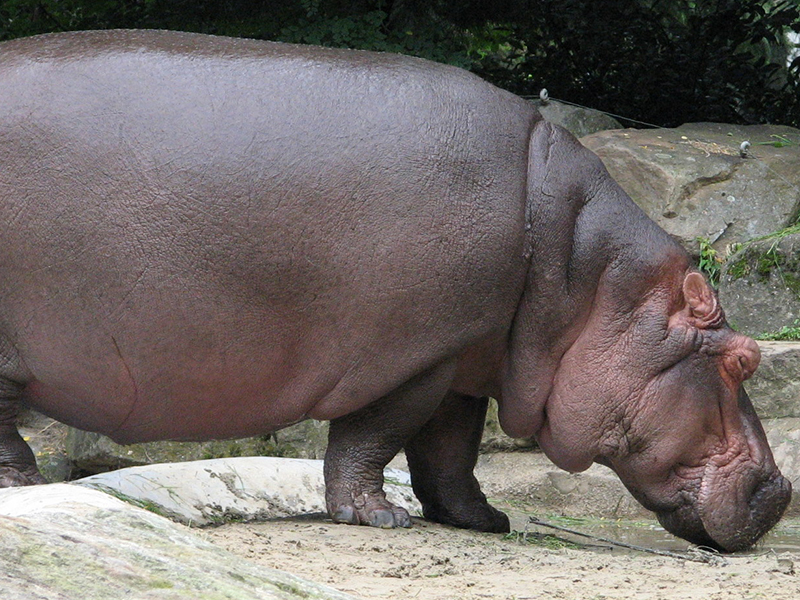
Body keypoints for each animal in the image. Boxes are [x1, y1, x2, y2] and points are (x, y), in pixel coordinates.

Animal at [0, 29, 790, 552]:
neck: (590, 279)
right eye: (743, 359)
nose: (783, 492)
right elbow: (377, 435)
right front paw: (382, 518)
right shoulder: (413, 356)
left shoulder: (469, 354)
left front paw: (483, 521)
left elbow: (451, 449)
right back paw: (25, 486)